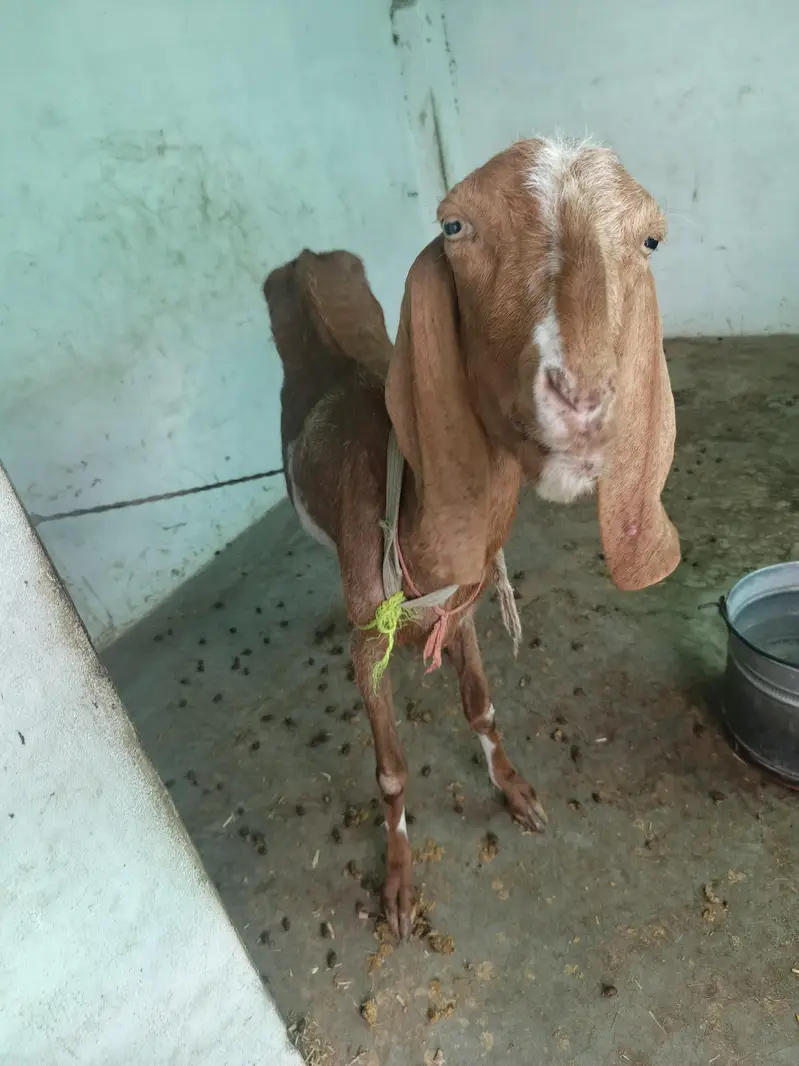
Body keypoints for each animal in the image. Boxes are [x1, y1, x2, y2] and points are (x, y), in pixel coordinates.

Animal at [263, 137, 680, 939]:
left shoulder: (464, 600)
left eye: (651, 238)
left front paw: (514, 791)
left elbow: (480, 703)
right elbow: (391, 770)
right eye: (453, 226)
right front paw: (397, 885)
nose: (584, 399)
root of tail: (302, 259)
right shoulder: (367, 642)